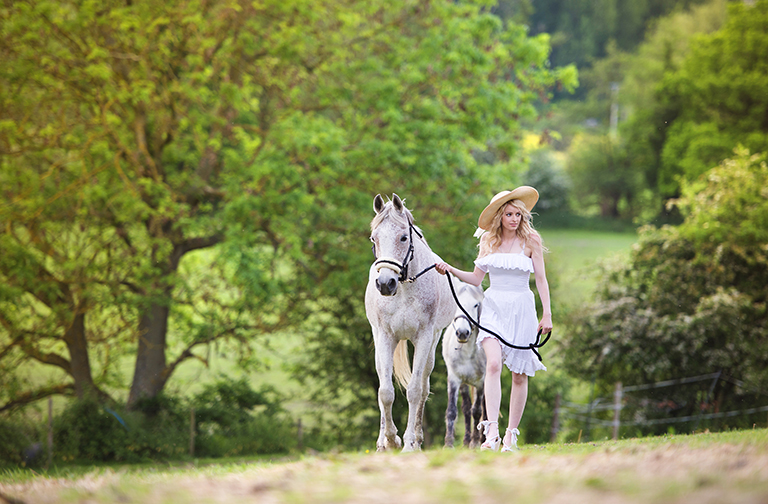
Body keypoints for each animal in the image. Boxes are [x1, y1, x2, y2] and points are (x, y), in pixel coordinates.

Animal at [364, 194, 452, 452]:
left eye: (403, 237)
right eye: (374, 238)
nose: (385, 283)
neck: (403, 289)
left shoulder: (424, 338)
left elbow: (415, 391)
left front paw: (410, 443)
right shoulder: (385, 337)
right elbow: (385, 392)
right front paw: (391, 440)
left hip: (432, 345)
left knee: (423, 387)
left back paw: (418, 438)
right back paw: (382, 442)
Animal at [438, 280, 486, 448]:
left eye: (476, 305)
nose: (462, 333)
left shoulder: (481, 382)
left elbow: (477, 410)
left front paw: (476, 442)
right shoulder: (454, 379)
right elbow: (452, 410)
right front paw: (448, 444)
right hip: (464, 383)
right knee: (466, 408)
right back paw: (466, 441)